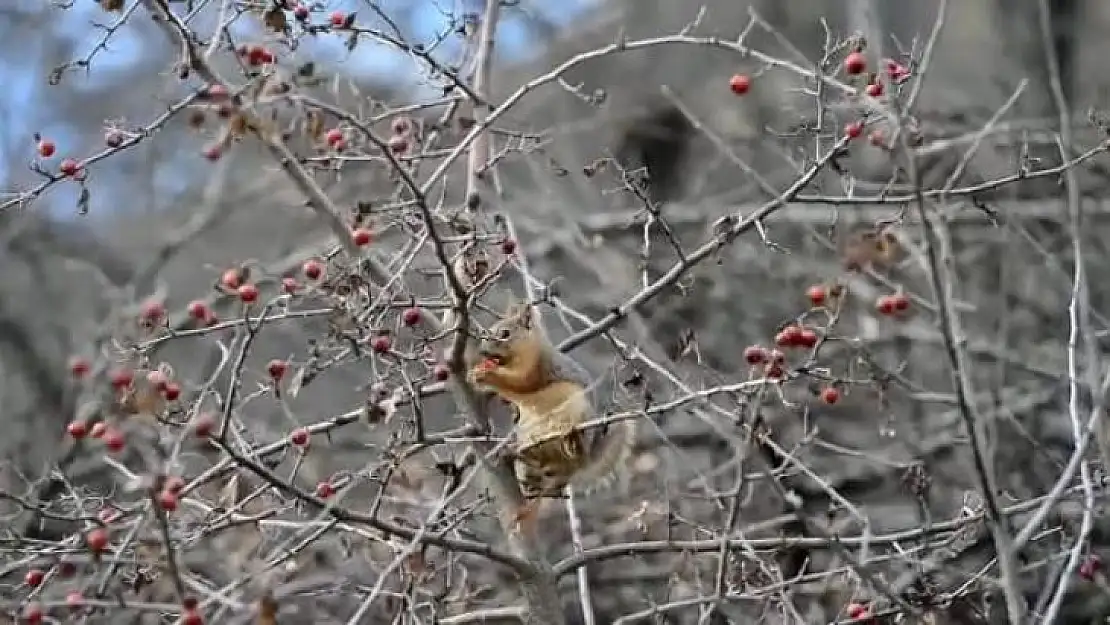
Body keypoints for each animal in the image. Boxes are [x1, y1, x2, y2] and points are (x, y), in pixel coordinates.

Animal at [466, 299, 639, 501]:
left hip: (577, 414)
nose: (483, 352)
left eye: (505, 334)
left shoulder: (536, 369)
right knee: (543, 466)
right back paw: (517, 458)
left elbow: (521, 383)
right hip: (528, 435)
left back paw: (572, 445)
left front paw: (485, 375)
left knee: (574, 457)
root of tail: (583, 463)